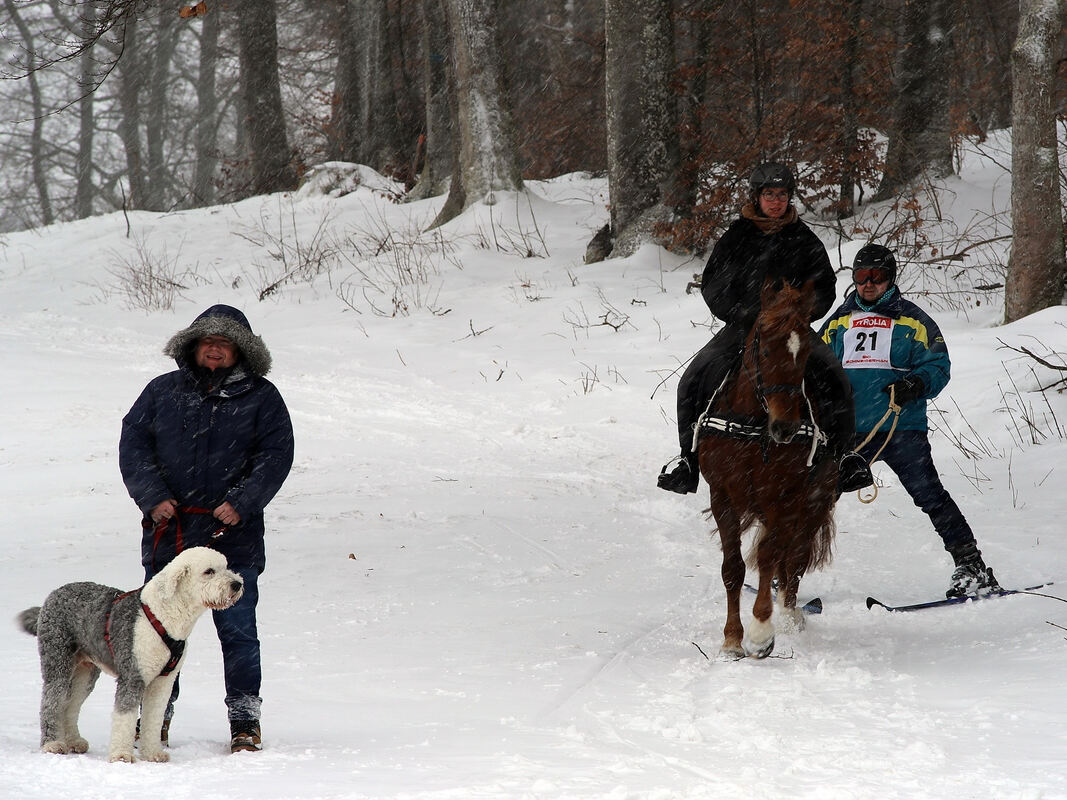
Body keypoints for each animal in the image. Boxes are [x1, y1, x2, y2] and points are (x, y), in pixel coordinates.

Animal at [18, 546, 244, 763]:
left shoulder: (163, 681)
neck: (165, 617)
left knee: (70, 706)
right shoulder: (133, 676)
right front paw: (121, 756)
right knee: (51, 702)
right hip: (58, 661)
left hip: (86, 672)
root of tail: (52, 596)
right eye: (209, 571)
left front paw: (153, 753)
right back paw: (53, 744)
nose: (237, 584)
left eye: (225, 566)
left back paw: (74, 741)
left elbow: (153, 719)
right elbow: (125, 716)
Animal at [695, 275, 836, 657]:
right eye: (767, 349)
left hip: (815, 500)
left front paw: (760, 633)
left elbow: (771, 557)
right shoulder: (722, 496)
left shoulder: (782, 497)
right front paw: (732, 639)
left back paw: (787, 616)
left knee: (794, 557)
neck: (753, 426)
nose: (785, 428)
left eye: (805, 353)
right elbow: (733, 567)